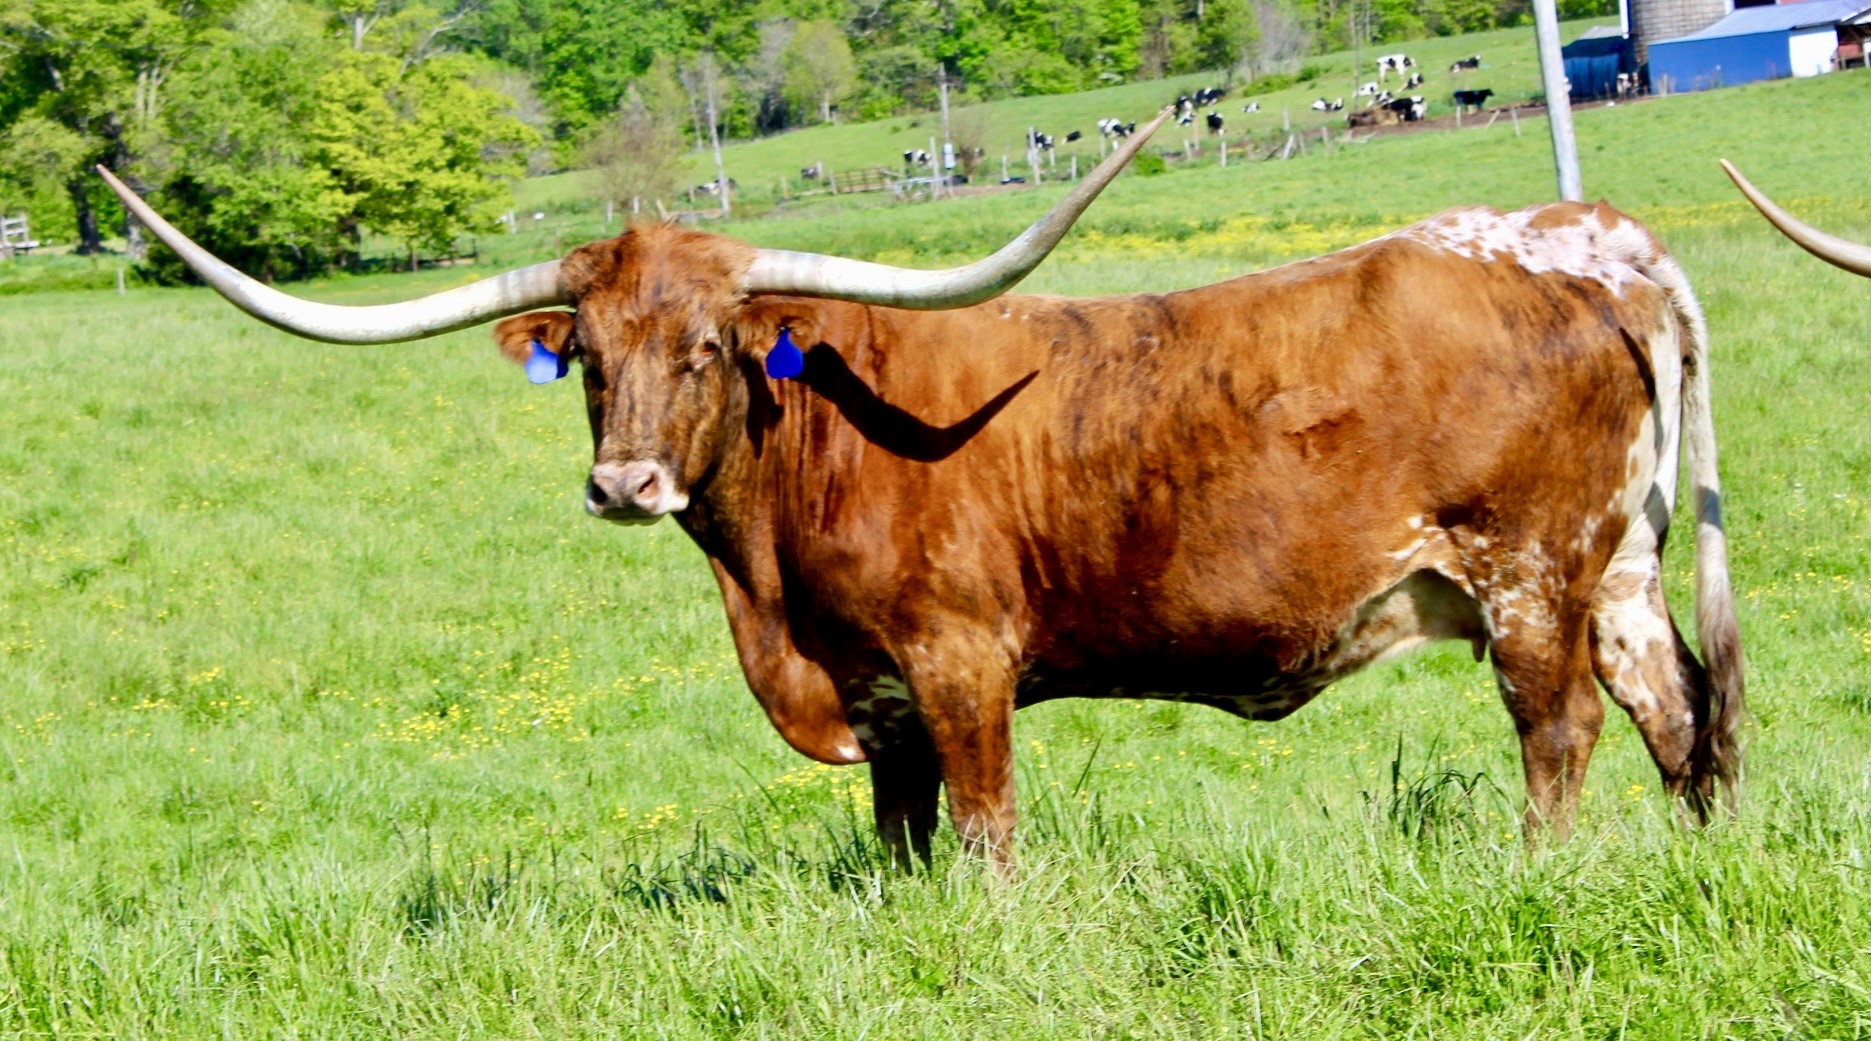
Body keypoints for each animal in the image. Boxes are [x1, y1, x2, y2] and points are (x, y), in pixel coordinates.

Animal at [97, 116, 1744, 870]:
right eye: (588, 362)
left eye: (704, 349)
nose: (623, 480)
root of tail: (1579, 235)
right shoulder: (873, 686)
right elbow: (897, 842)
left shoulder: (959, 665)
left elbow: (987, 827)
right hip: (1616, 571)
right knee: (1677, 714)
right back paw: (1693, 861)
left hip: (1526, 578)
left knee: (1559, 731)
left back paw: (1537, 871)